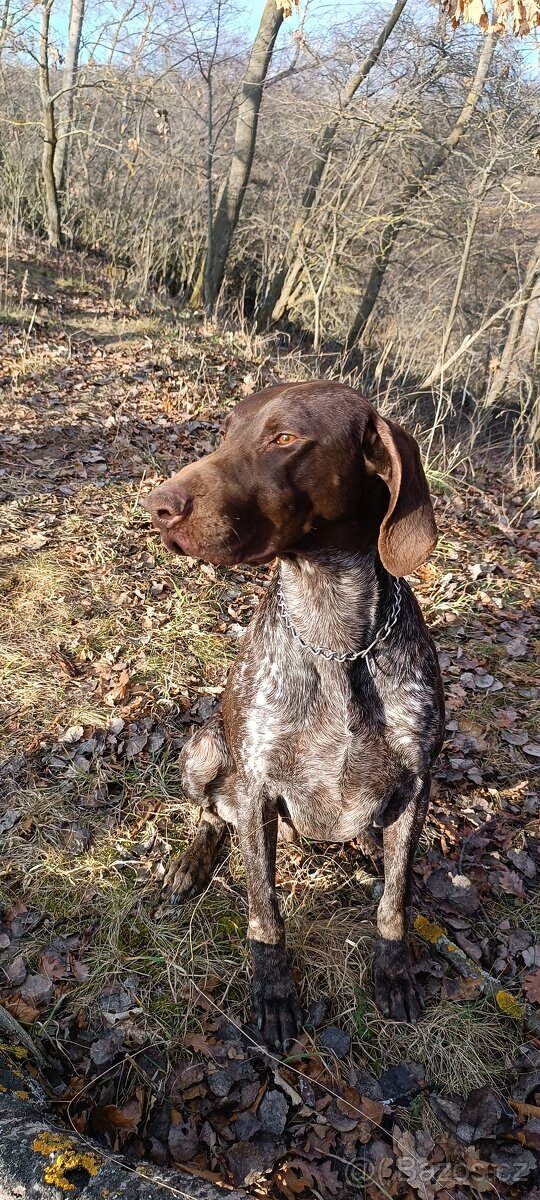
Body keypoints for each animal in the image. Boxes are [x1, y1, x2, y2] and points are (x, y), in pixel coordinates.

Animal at [143, 384, 444, 1051]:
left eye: (284, 439)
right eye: (226, 433)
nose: (157, 506)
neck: (334, 631)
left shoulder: (417, 783)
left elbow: (396, 901)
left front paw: (394, 969)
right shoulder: (257, 786)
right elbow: (265, 914)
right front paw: (275, 993)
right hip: (205, 747)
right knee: (212, 815)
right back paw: (190, 865)